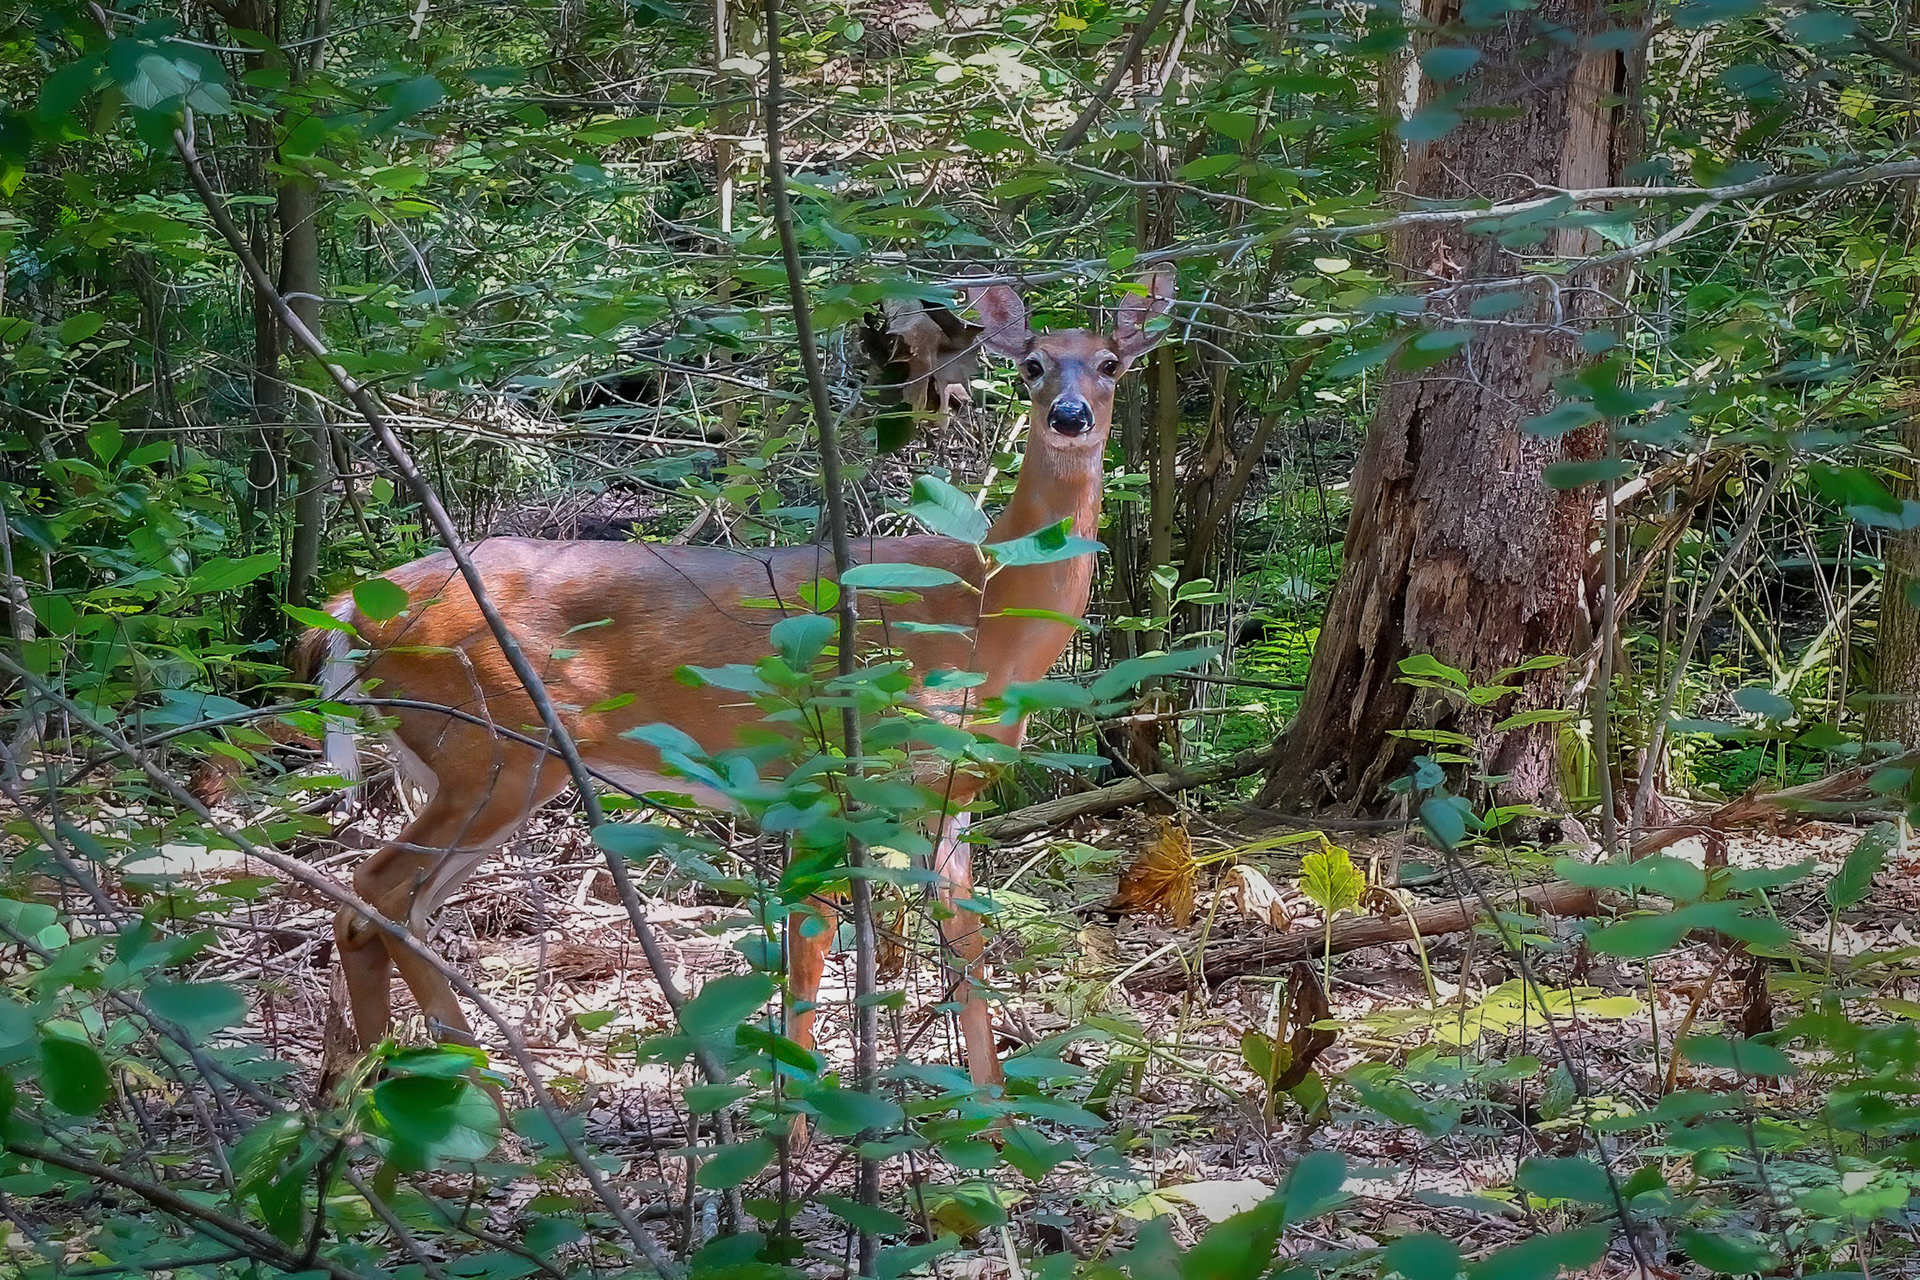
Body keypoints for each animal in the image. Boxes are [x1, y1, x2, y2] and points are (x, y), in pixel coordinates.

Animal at [307, 268, 1176, 1091]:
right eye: (1032, 366)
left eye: (1110, 364)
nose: (1071, 416)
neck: (985, 612)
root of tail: (351, 607)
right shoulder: (830, 773)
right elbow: (810, 951)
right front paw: (803, 1114)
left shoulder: (946, 795)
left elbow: (966, 950)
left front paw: (990, 1116)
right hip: (488, 744)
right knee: (375, 895)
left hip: (480, 759)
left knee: (394, 909)